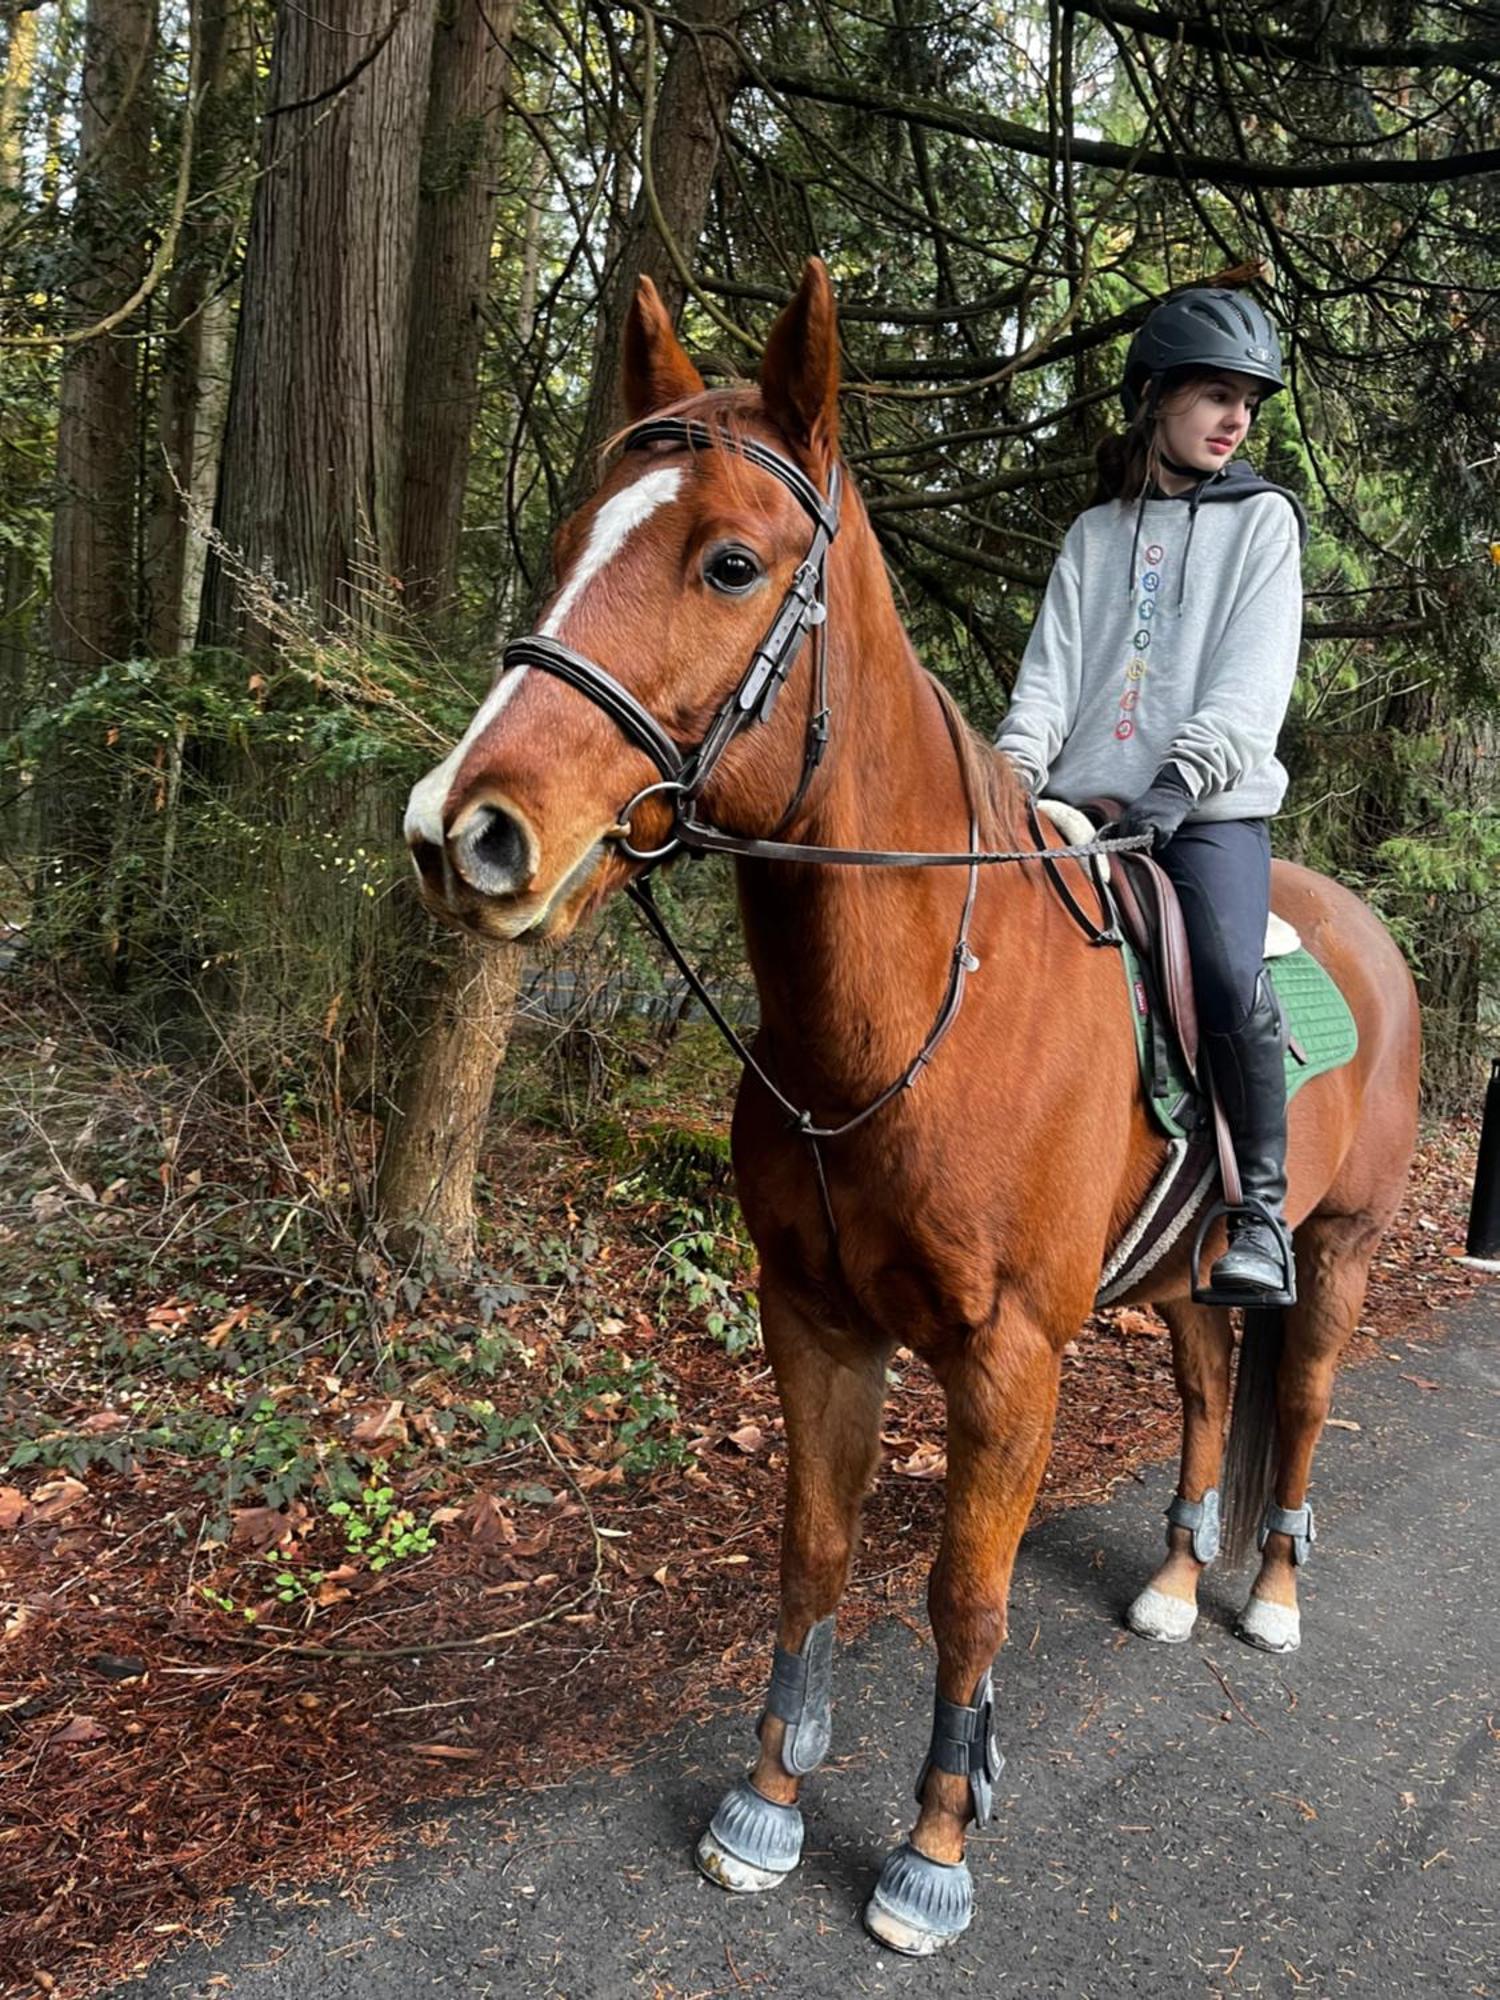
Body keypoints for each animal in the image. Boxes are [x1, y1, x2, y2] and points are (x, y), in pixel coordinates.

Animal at [408, 262, 1424, 1952]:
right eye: (567, 546)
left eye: (731, 563)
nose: (462, 830)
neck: (900, 1027)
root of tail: (1373, 940)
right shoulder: (816, 1318)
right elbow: (814, 1551)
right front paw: (769, 1799)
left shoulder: (1008, 1358)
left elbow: (966, 1590)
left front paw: (936, 1843)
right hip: (1178, 1276)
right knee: (1211, 1388)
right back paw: (1173, 1581)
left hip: (1333, 1248)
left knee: (1299, 1403)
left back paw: (1266, 1597)